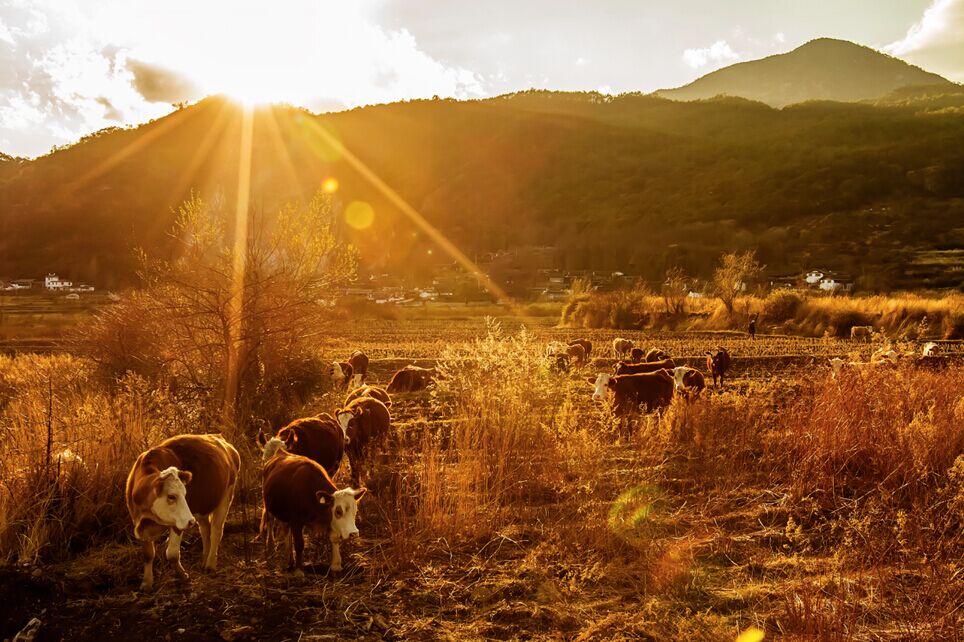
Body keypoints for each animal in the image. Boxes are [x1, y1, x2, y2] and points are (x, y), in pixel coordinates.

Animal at [126, 430, 241, 592]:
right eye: (171, 496)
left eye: (185, 494)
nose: (190, 521)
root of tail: (220, 438)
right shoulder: (139, 523)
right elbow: (148, 555)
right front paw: (147, 583)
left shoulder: (178, 523)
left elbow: (172, 554)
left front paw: (182, 575)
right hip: (201, 507)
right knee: (205, 530)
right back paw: (204, 560)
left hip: (226, 497)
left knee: (216, 531)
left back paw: (210, 565)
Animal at [260, 444, 366, 576]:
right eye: (338, 511)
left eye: (354, 511)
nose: (353, 533)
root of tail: (280, 452)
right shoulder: (296, 521)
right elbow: (299, 543)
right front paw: (299, 570)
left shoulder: (328, 520)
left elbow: (334, 538)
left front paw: (336, 565)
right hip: (268, 507)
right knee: (270, 525)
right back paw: (271, 552)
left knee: (286, 532)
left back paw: (288, 561)